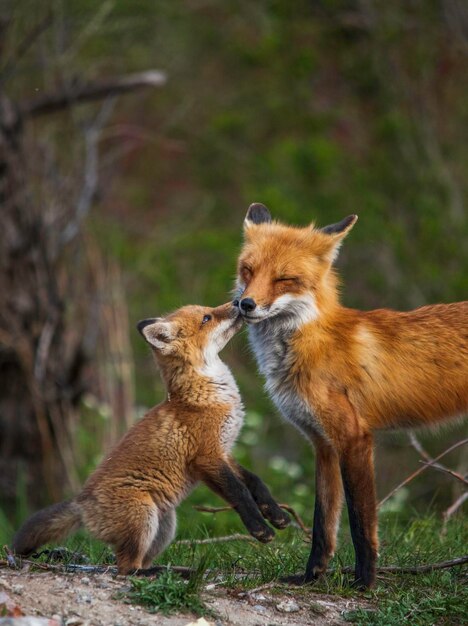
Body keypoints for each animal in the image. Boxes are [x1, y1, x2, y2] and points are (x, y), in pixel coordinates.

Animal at [13, 302, 288, 572]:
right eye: (207, 318)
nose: (239, 302)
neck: (206, 395)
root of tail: (82, 503)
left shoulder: (224, 450)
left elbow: (254, 481)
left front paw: (275, 513)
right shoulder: (206, 458)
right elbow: (239, 492)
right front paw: (260, 529)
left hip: (165, 524)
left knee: (139, 562)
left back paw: (176, 571)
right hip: (144, 516)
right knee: (127, 568)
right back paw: (159, 573)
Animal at [234, 202, 468, 588]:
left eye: (284, 279)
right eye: (248, 270)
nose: (245, 304)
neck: (311, 344)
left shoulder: (354, 437)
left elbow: (361, 522)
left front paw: (365, 582)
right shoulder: (322, 444)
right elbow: (323, 524)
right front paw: (311, 577)